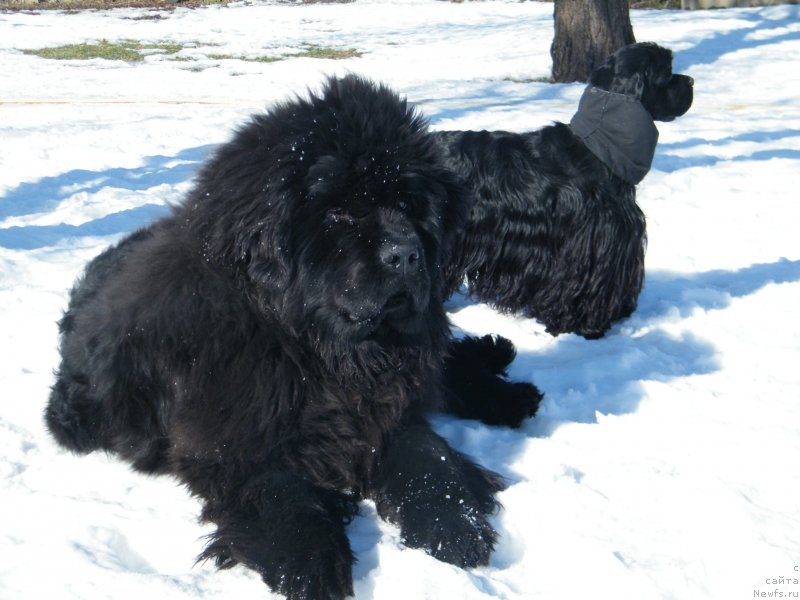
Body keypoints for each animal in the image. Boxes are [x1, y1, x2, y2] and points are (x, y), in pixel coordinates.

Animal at [47, 75, 540, 600]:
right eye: (341, 214)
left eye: (408, 206)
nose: (406, 254)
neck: (314, 350)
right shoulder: (236, 443)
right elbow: (281, 496)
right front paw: (312, 567)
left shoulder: (387, 410)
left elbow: (429, 459)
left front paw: (455, 525)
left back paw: (508, 382)